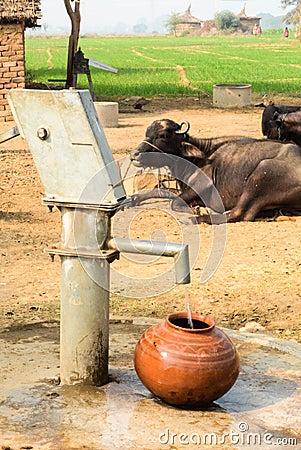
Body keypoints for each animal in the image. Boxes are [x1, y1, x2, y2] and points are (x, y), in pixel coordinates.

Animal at [131, 118, 300, 223]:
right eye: (147, 132)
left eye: (162, 135)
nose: (134, 155)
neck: (198, 157)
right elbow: (159, 190)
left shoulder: (199, 186)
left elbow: (174, 202)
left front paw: (196, 209)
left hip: (261, 172)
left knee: (240, 213)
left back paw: (196, 218)